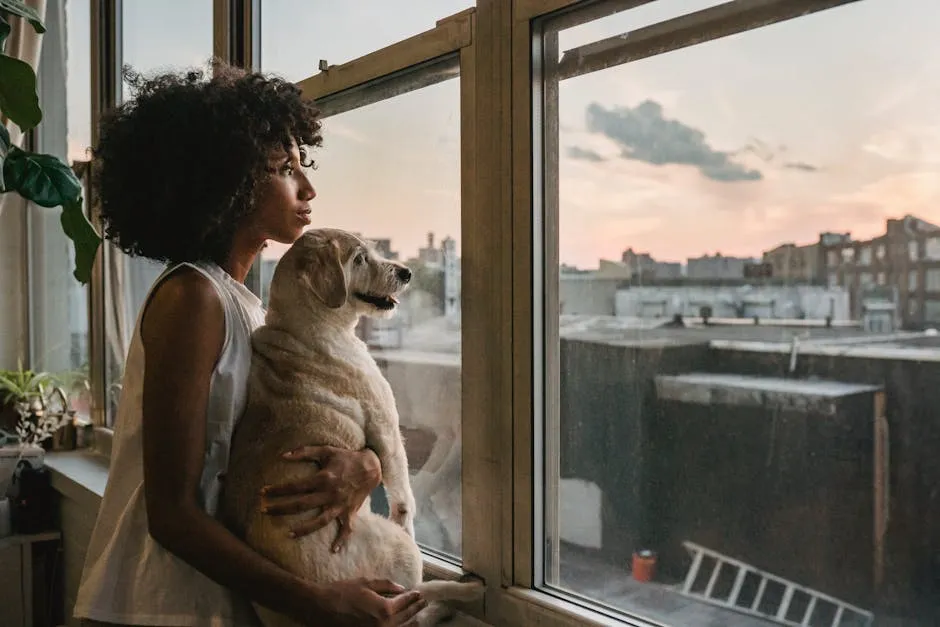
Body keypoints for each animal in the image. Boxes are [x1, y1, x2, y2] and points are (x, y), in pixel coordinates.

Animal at [222, 231, 484, 627]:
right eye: (360, 259)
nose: (407, 273)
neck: (306, 327)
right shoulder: (386, 426)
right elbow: (404, 496)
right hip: (399, 551)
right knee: (414, 597)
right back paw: (462, 595)